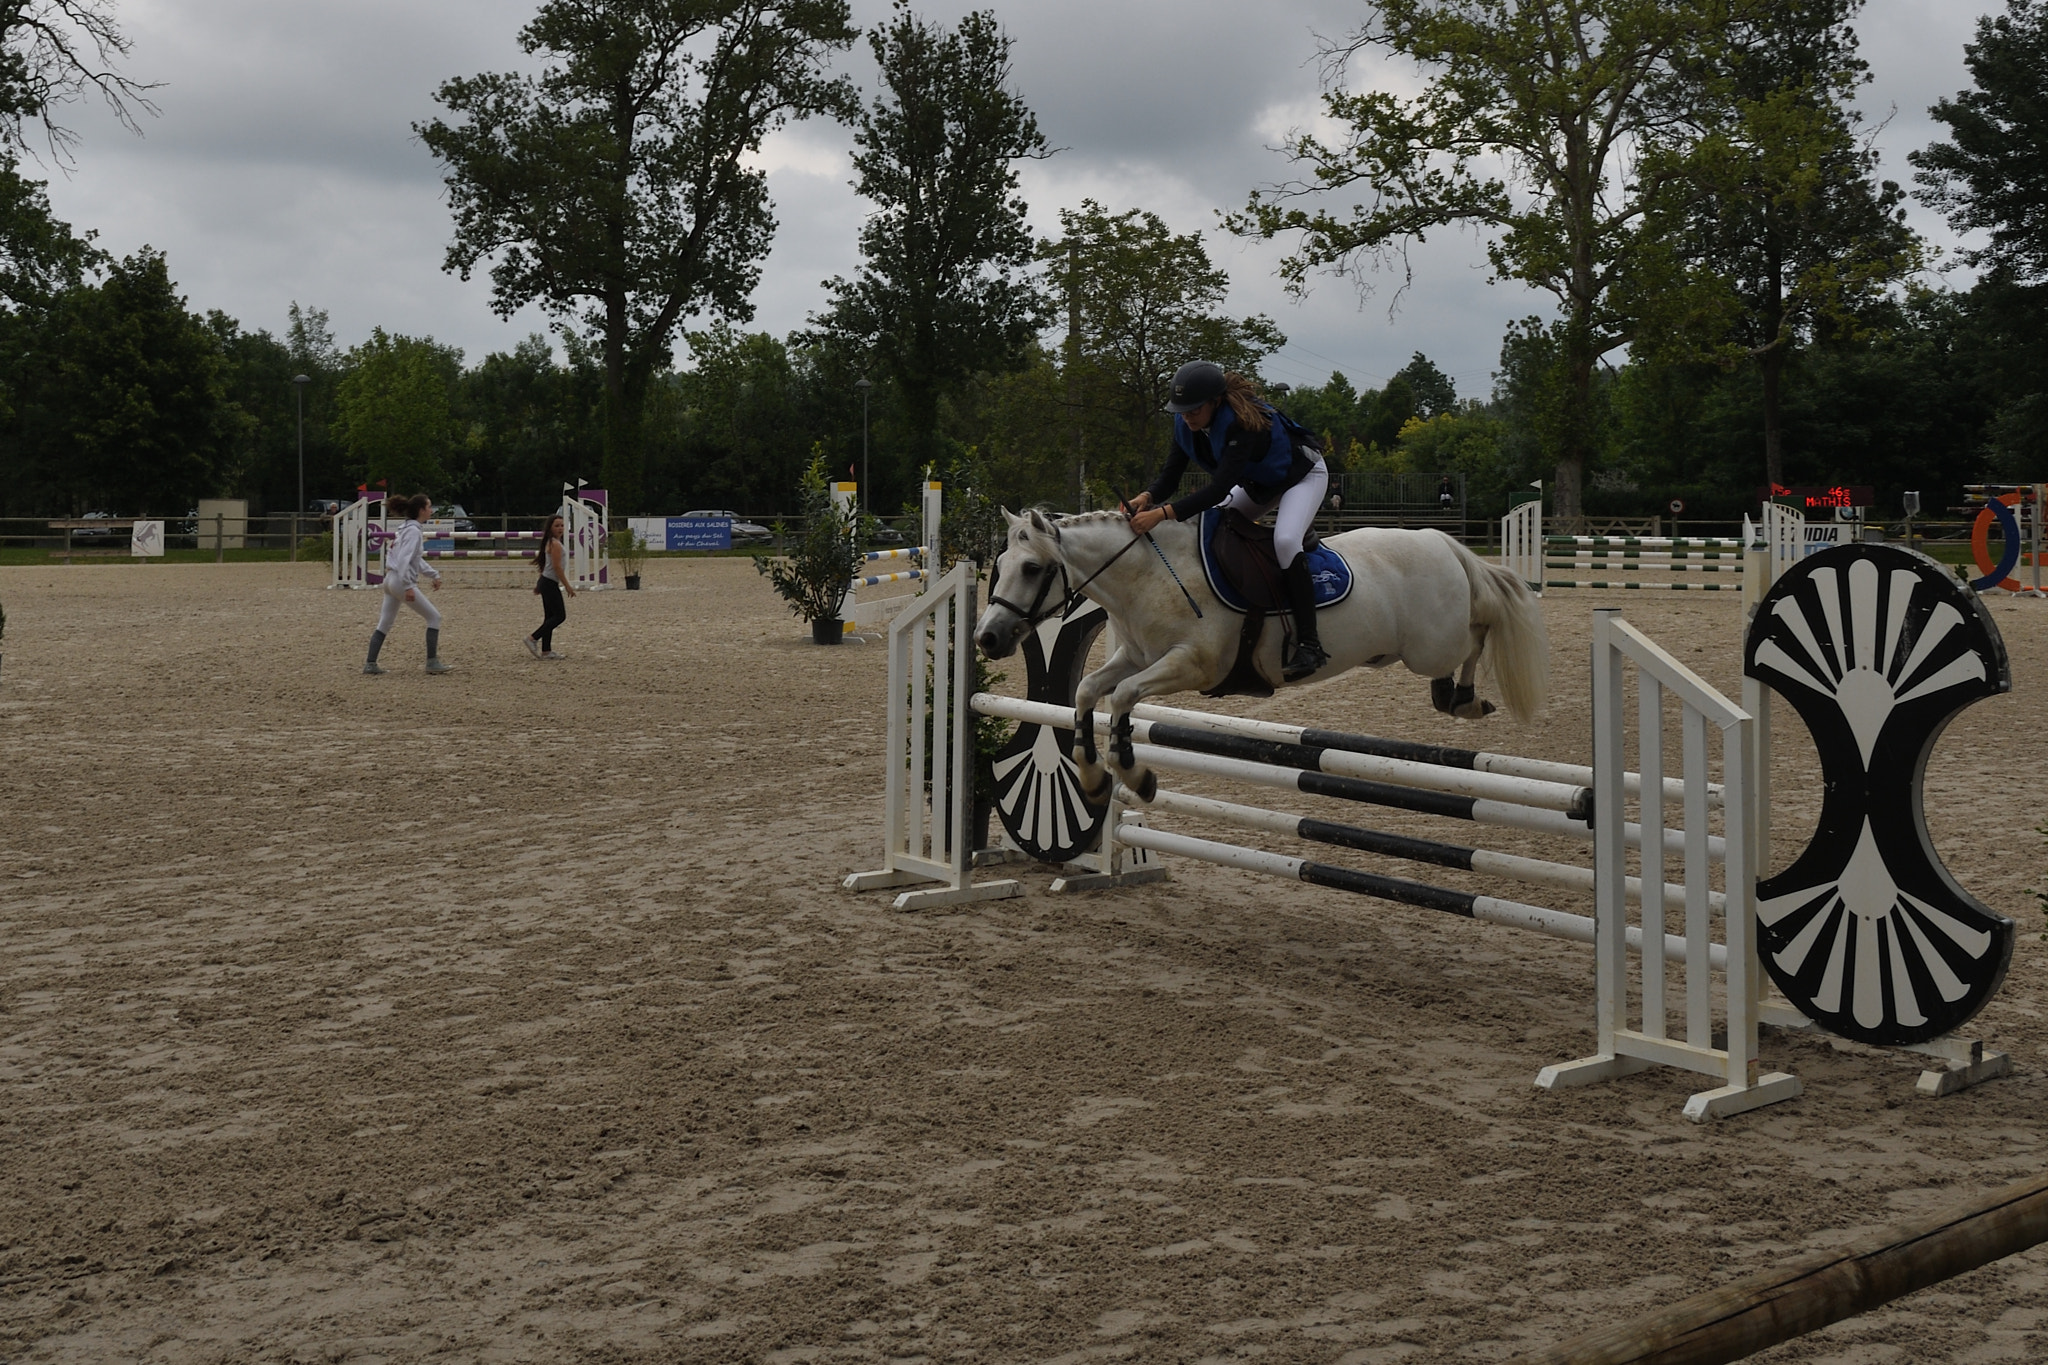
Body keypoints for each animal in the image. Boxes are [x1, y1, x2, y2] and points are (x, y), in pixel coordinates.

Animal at [974, 511, 1548, 810]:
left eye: (1031, 568)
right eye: (998, 564)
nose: (987, 638)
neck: (1147, 578)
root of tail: (1442, 541)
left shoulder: (1192, 665)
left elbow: (1123, 698)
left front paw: (1136, 777)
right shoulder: (1134, 656)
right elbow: (1088, 690)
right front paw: (1093, 777)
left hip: (1430, 645)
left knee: (1480, 628)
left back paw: (1465, 699)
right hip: (1425, 644)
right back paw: (1453, 695)